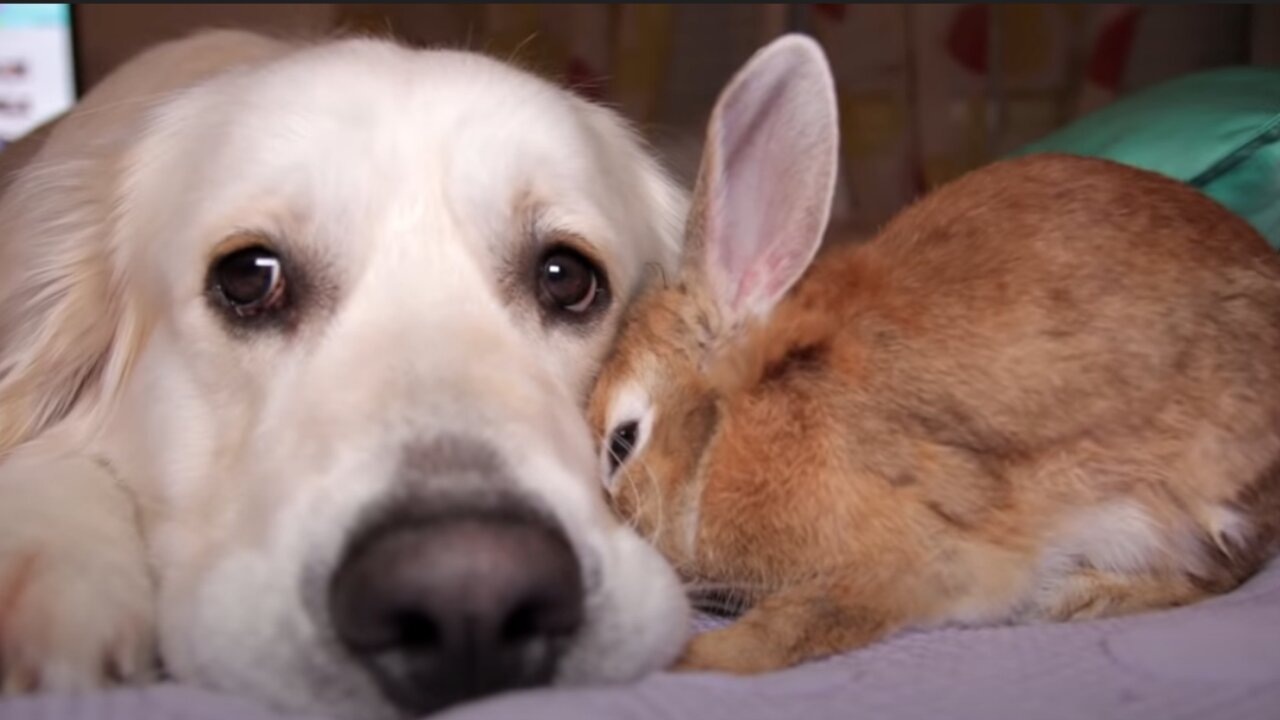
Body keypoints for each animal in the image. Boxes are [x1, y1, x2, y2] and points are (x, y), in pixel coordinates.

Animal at [586, 33, 1280, 671]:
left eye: (622, 443)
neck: (739, 422)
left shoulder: (907, 562)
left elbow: (794, 626)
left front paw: (693, 658)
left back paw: (1081, 596)